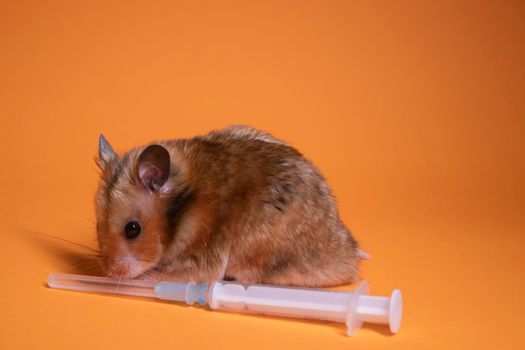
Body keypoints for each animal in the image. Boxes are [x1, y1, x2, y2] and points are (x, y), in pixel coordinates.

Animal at [94, 126, 364, 288]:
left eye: (132, 229)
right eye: (98, 226)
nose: (109, 273)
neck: (185, 206)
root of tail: (346, 257)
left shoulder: (202, 255)